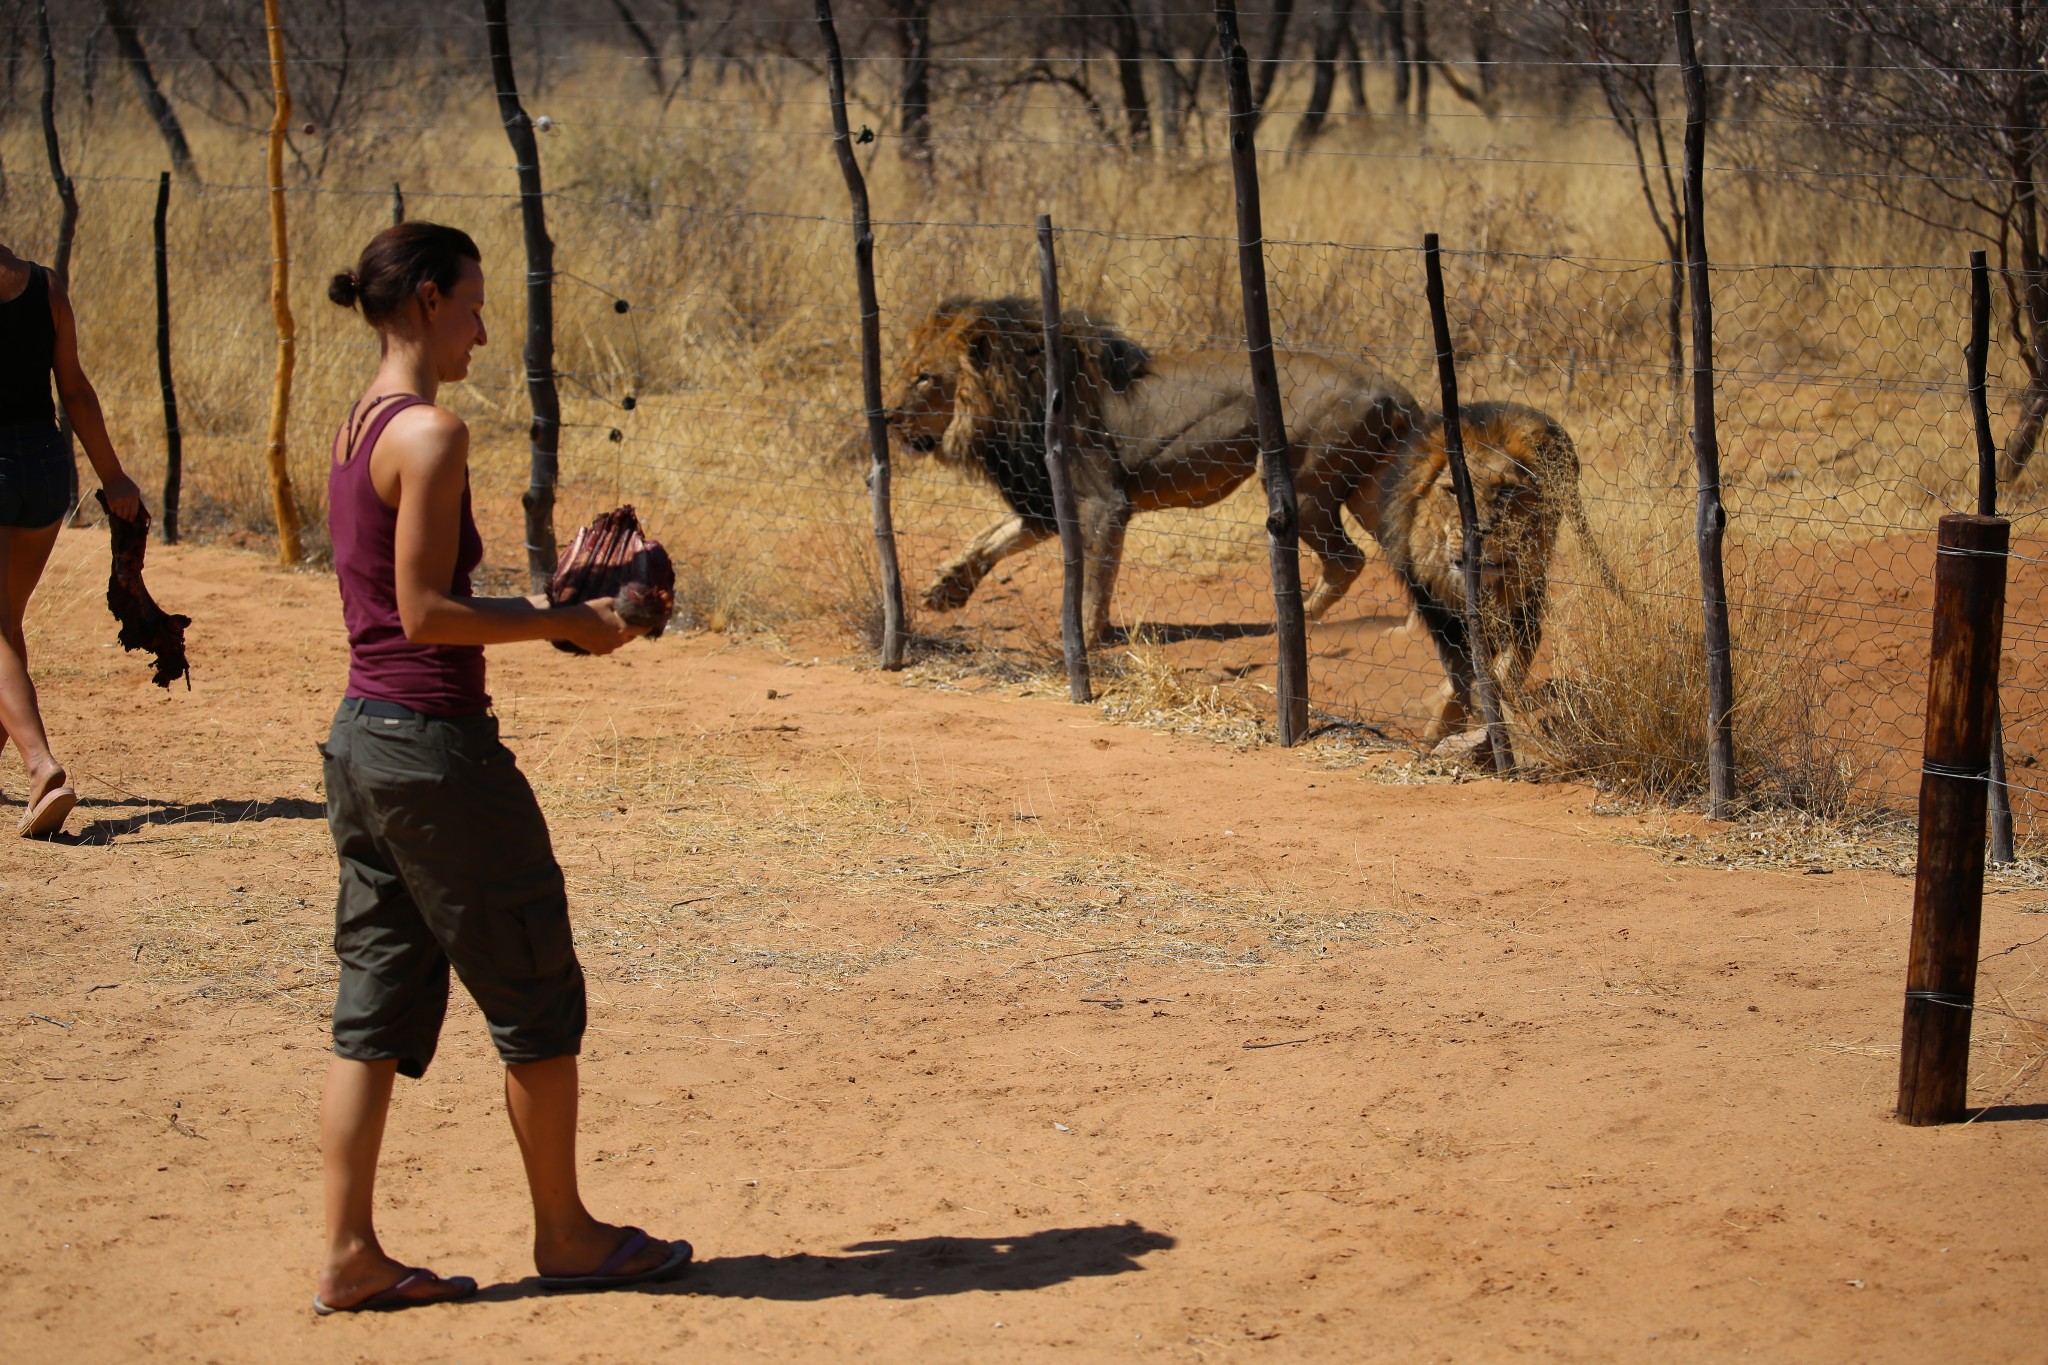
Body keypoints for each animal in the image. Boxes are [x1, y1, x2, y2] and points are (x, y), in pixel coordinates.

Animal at [880, 294, 1425, 646]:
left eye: (924, 377)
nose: (886, 417)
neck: (1013, 400)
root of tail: (1392, 388)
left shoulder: (1105, 502)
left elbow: (1095, 577)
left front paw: (1085, 639)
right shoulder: (1047, 500)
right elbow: (992, 535)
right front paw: (947, 586)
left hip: (1302, 484)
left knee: (1347, 560)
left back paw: (1290, 624)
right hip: (1369, 490)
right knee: (1402, 555)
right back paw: (1415, 632)